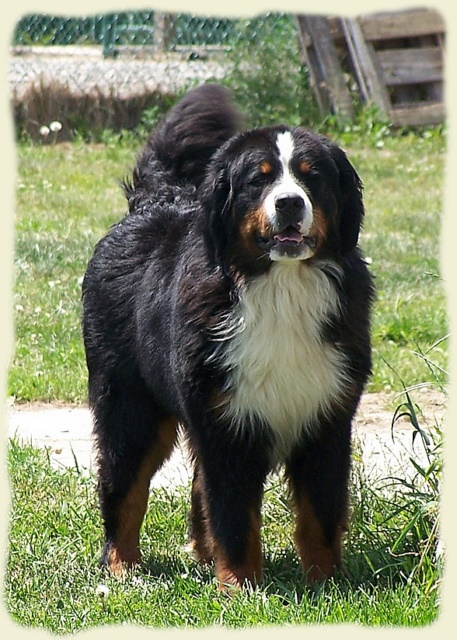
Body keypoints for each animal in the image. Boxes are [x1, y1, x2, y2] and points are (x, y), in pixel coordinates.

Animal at [83, 84, 374, 592]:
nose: (289, 203)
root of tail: (151, 203)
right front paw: (240, 586)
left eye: (312, 176)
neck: (280, 289)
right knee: (123, 487)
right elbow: (234, 516)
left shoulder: (327, 420)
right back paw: (122, 568)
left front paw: (326, 582)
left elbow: (319, 513)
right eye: (259, 180)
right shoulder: (227, 425)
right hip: (129, 407)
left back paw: (199, 556)